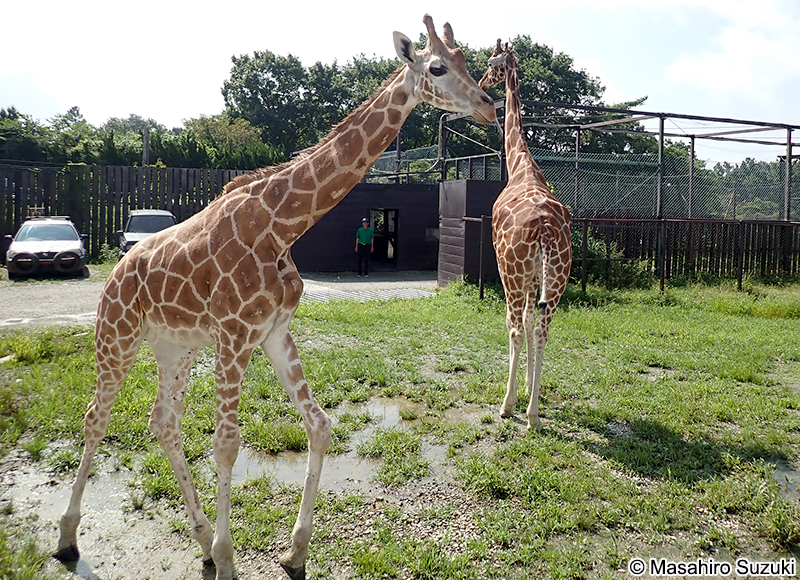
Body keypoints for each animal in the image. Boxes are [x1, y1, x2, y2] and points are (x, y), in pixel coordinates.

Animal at [55, 16, 496, 580]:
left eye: (466, 61)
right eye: (437, 67)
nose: (488, 104)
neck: (281, 226)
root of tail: (113, 275)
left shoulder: (273, 332)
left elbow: (321, 425)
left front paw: (294, 550)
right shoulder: (235, 335)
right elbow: (226, 446)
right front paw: (230, 559)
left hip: (176, 347)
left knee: (163, 423)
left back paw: (200, 540)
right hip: (117, 336)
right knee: (97, 417)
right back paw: (69, 537)